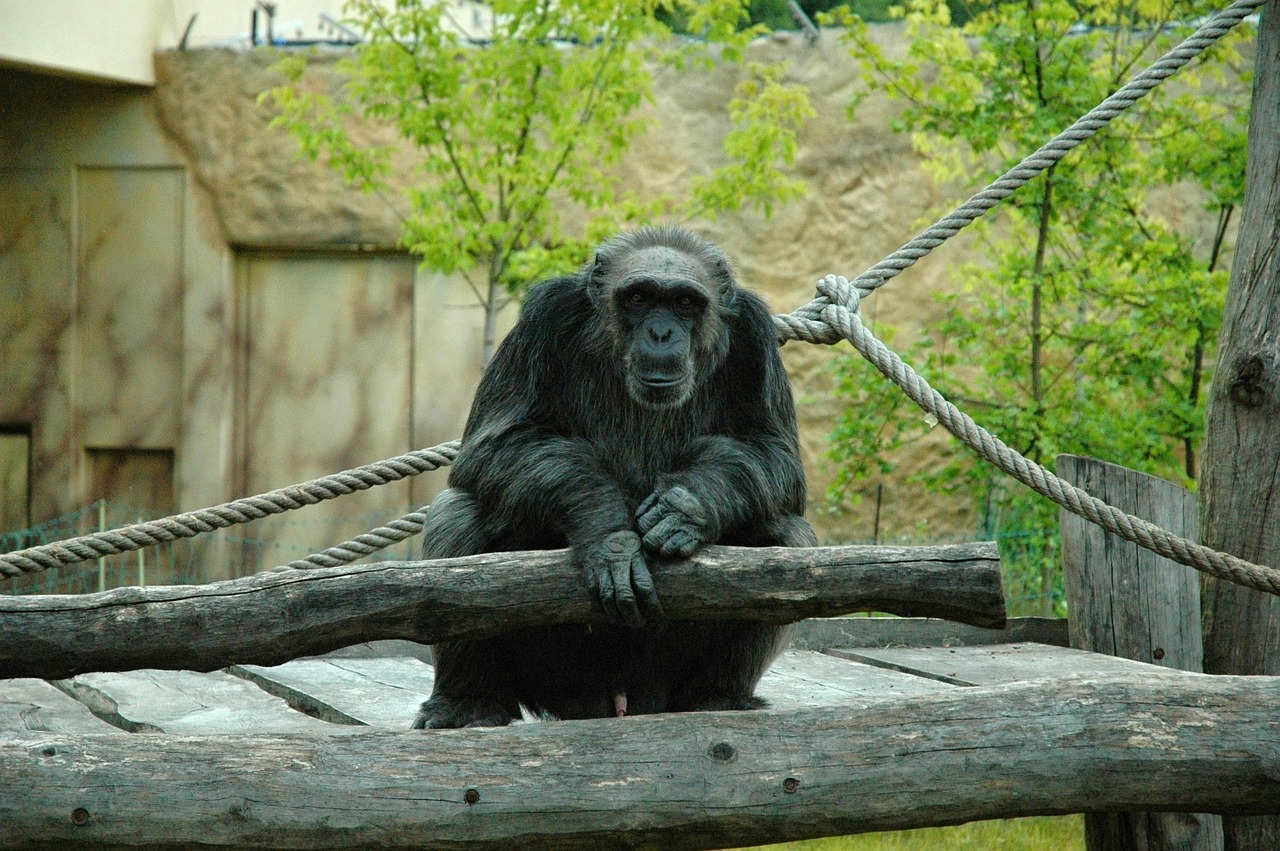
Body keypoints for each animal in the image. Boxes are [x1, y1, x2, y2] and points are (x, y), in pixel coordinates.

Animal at [409, 225, 814, 731]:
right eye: (638, 297)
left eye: (685, 302)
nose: (660, 332)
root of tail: (620, 696)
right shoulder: (542, 320)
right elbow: (496, 443)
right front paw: (611, 538)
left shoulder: (756, 337)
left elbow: (776, 458)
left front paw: (686, 506)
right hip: (557, 673)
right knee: (461, 513)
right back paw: (466, 702)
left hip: (662, 673)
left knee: (787, 537)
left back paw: (716, 696)